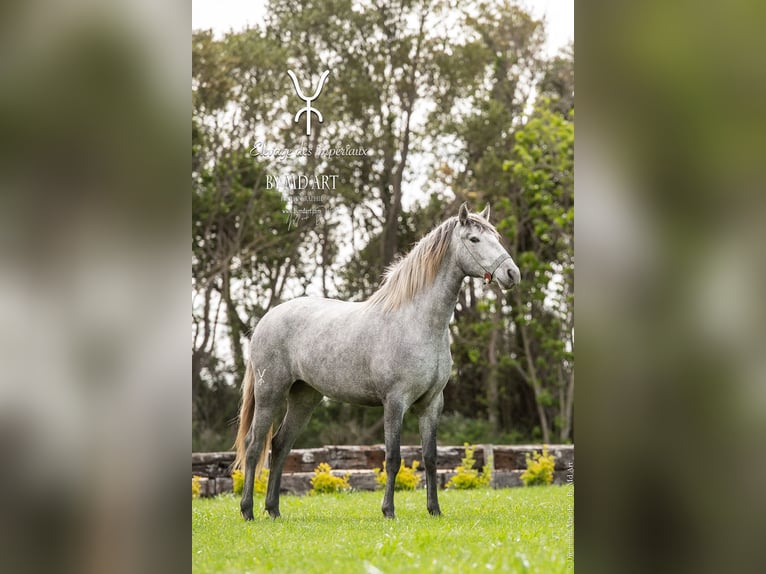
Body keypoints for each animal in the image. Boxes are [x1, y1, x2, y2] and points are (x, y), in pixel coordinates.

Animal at [234, 204, 520, 520]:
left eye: (496, 237)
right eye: (474, 239)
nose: (512, 274)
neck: (417, 322)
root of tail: (266, 320)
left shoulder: (432, 404)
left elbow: (431, 457)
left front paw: (434, 510)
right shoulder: (395, 402)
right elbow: (393, 457)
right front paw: (389, 511)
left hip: (304, 398)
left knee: (280, 445)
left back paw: (273, 510)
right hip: (270, 393)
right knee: (254, 446)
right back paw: (248, 511)